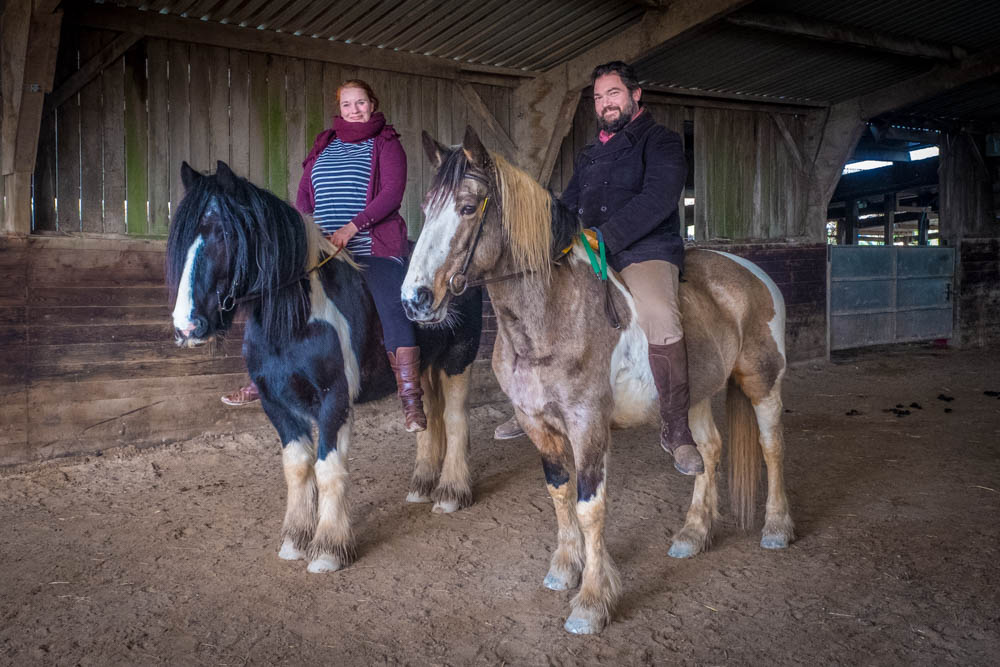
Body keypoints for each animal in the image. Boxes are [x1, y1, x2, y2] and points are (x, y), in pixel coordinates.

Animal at [167, 162, 484, 576]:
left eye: (222, 233)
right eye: (182, 237)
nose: (186, 326)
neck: (295, 319)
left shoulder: (334, 400)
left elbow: (328, 469)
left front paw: (329, 548)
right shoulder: (277, 404)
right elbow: (298, 468)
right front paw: (294, 540)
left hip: (458, 359)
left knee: (456, 420)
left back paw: (450, 493)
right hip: (426, 367)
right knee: (428, 419)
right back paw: (421, 486)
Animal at [402, 128, 792, 636]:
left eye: (468, 208)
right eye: (426, 208)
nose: (414, 299)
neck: (551, 314)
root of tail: (753, 273)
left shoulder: (587, 426)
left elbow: (590, 507)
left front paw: (590, 603)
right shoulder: (537, 423)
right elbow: (560, 492)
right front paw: (565, 568)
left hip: (762, 380)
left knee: (772, 446)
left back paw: (777, 528)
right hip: (696, 397)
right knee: (707, 451)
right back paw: (693, 533)